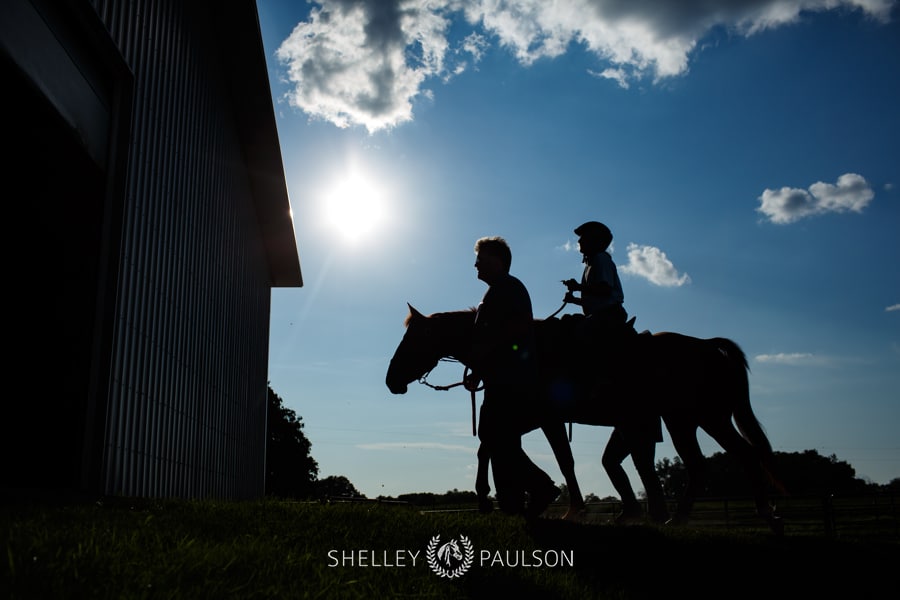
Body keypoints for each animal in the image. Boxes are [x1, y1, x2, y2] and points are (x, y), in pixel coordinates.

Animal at [384, 308, 784, 532]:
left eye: (412, 339)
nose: (391, 380)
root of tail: (709, 346)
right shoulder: (527, 419)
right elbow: (498, 448)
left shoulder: (542, 418)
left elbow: (562, 459)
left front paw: (569, 508)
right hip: (690, 420)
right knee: (715, 462)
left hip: (700, 419)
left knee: (726, 460)